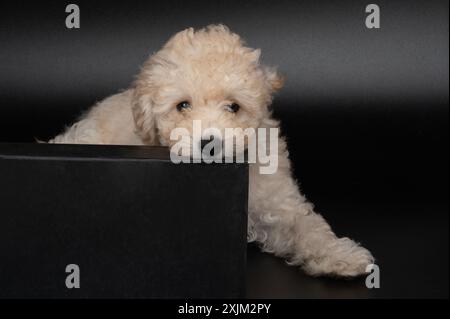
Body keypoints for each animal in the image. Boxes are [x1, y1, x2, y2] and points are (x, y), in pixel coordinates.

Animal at [49, 24, 374, 278]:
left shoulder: (277, 201)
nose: (210, 142)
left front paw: (341, 255)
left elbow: (307, 225)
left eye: (234, 106)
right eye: (182, 105)